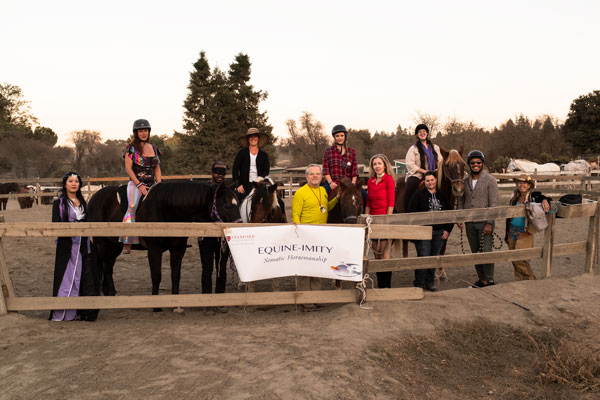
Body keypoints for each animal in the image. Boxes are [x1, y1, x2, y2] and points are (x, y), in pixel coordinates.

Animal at [87, 180, 241, 300]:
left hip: (114, 246)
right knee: (107, 268)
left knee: (107, 267)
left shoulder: (178, 250)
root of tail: (94, 198)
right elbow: (156, 276)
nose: (240, 225)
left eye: (238, 204)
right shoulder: (154, 250)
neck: (168, 209)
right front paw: (156, 306)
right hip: (103, 244)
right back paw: (112, 293)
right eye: (226, 205)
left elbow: (175, 275)